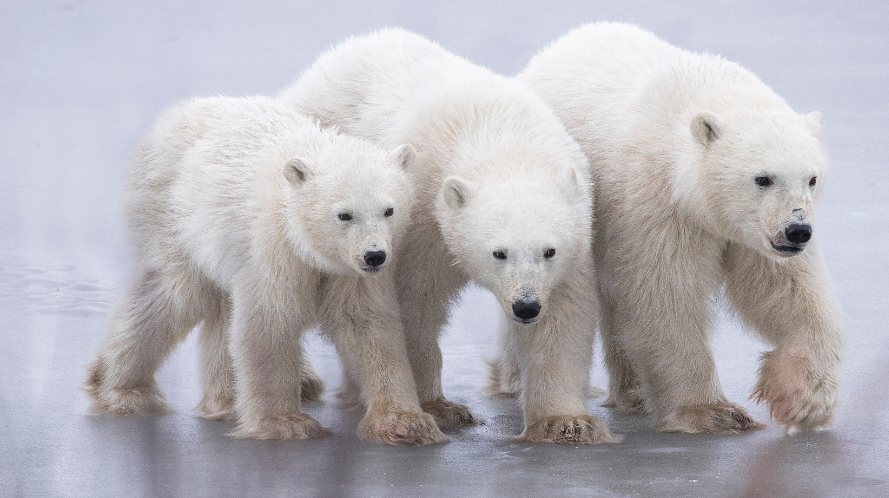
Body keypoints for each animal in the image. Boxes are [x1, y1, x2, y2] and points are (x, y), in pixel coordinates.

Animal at [84, 95, 448, 446]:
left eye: (389, 210)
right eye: (344, 214)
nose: (375, 256)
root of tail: (168, 118)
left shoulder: (349, 274)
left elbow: (367, 324)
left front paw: (407, 423)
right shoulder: (274, 248)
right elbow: (270, 322)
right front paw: (287, 424)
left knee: (219, 310)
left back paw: (224, 402)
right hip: (171, 216)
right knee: (175, 297)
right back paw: (123, 391)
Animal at [280, 29, 620, 446]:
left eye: (549, 251)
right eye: (498, 253)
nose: (525, 306)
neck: (497, 134)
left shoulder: (573, 240)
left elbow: (561, 316)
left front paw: (567, 422)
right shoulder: (423, 219)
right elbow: (415, 302)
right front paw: (439, 407)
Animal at [516, 23, 844, 434]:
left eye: (812, 178)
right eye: (763, 178)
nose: (797, 230)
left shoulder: (753, 237)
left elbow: (787, 292)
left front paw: (802, 399)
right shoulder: (655, 205)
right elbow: (665, 297)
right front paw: (711, 410)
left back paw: (633, 393)